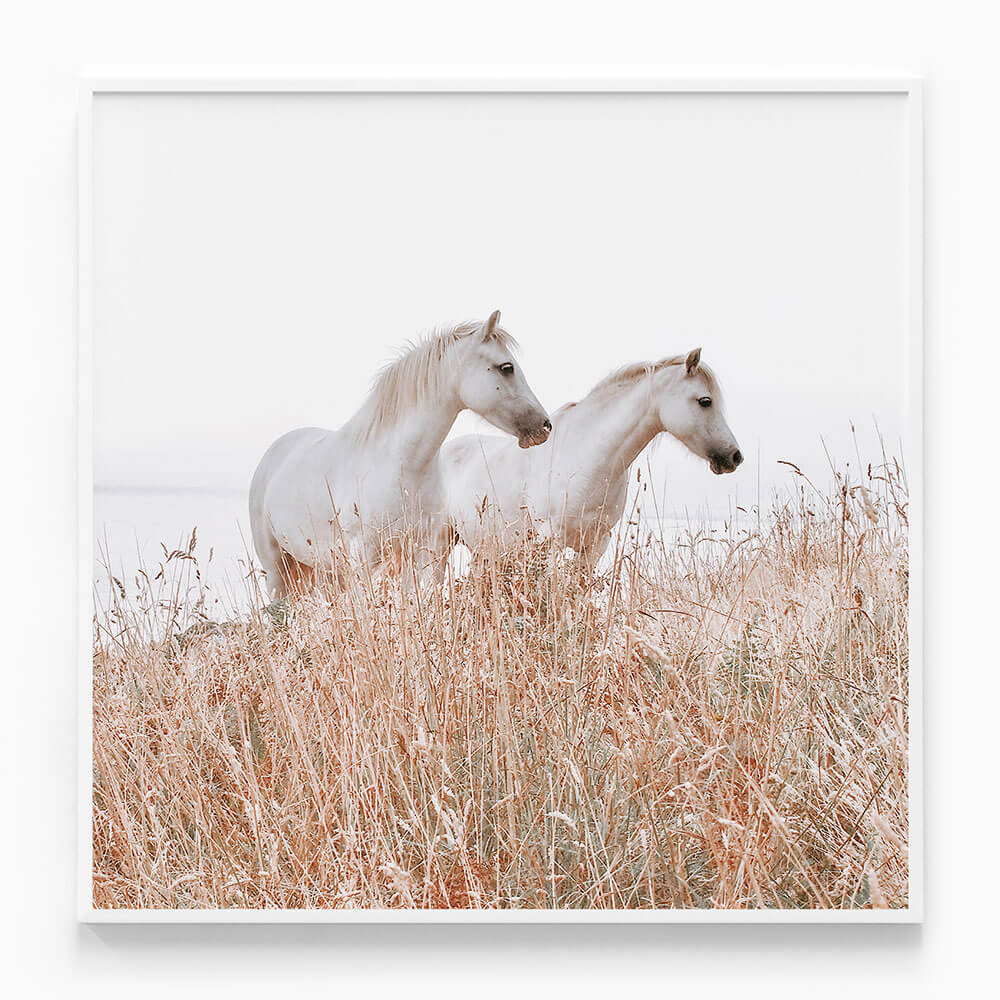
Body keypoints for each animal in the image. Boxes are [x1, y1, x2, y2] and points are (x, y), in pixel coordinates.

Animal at [249, 311, 551, 598]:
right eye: (507, 368)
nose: (545, 426)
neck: (402, 464)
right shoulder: (362, 560)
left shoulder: (420, 554)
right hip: (276, 570)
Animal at [441, 347, 742, 570]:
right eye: (705, 401)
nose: (735, 456)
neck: (590, 458)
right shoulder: (550, 540)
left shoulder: (596, 544)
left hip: (483, 549)